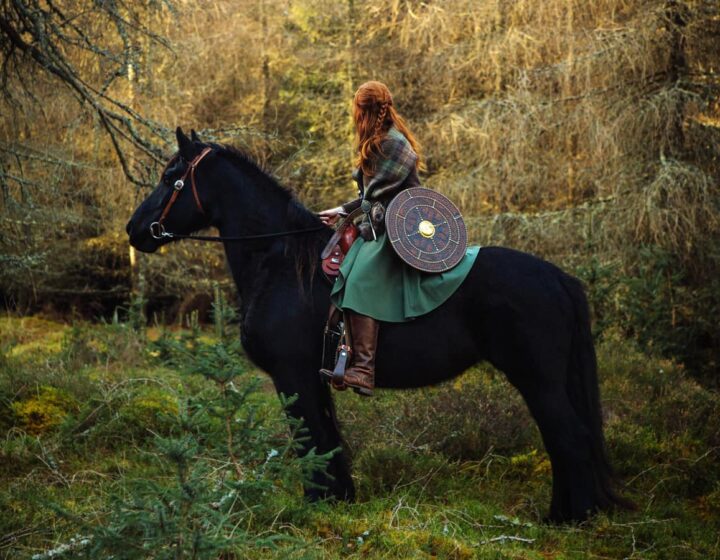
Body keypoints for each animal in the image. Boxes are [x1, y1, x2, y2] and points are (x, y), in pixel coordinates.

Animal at [126, 127, 628, 520]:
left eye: (171, 179)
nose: (135, 230)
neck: (280, 262)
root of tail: (558, 278)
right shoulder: (312, 377)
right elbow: (327, 440)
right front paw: (337, 499)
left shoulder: (292, 376)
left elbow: (309, 440)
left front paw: (317, 505)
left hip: (537, 380)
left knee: (570, 439)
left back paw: (569, 518)